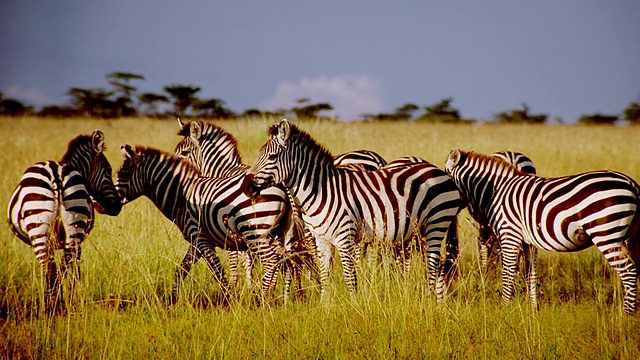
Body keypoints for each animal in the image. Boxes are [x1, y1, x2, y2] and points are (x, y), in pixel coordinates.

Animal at [7, 130, 122, 316]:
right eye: (109, 169)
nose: (117, 207)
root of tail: (56, 174)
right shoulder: (73, 241)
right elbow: (73, 269)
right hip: (72, 225)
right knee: (59, 269)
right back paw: (57, 305)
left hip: (40, 227)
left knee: (51, 269)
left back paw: (52, 308)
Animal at [115, 143, 292, 304]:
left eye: (123, 173)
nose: (106, 203)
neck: (181, 196)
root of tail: (281, 185)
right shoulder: (196, 241)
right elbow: (182, 269)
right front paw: (173, 300)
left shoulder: (199, 236)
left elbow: (217, 270)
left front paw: (227, 300)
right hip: (278, 233)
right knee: (286, 261)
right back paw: (283, 300)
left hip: (255, 232)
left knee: (271, 260)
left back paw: (261, 299)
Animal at [242, 119, 462, 300]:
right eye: (259, 155)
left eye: (272, 157)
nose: (246, 187)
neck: (321, 191)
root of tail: (438, 170)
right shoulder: (321, 239)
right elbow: (325, 276)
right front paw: (324, 308)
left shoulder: (344, 236)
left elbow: (350, 276)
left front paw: (354, 307)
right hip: (423, 229)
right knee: (439, 265)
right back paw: (437, 303)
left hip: (437, 222)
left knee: (433, 264)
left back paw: (428, 301)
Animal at [444, 148, 640, 314]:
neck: (495, 191)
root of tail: (631, 183)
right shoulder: (527, 241)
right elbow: (530, 274)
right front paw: (533, 310)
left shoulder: (509, 234)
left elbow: (508, 273)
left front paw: (504, 309)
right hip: (629, 236)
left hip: (606, 233)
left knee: (629, 272)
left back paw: (626, 317)